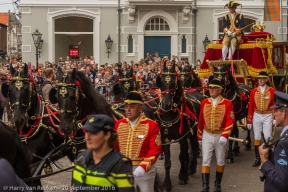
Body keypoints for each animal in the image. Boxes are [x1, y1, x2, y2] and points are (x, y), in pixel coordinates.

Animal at [155, 59, 198, 190]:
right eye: (161, 81)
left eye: (174, 82)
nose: (166, 104)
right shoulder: (165, 138)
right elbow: (167, 162)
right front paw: (166, 183)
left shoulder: (182, 138)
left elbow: (182, 157)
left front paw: (183, 177)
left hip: (193, 132)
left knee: (194, 147)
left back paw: (191, 167)